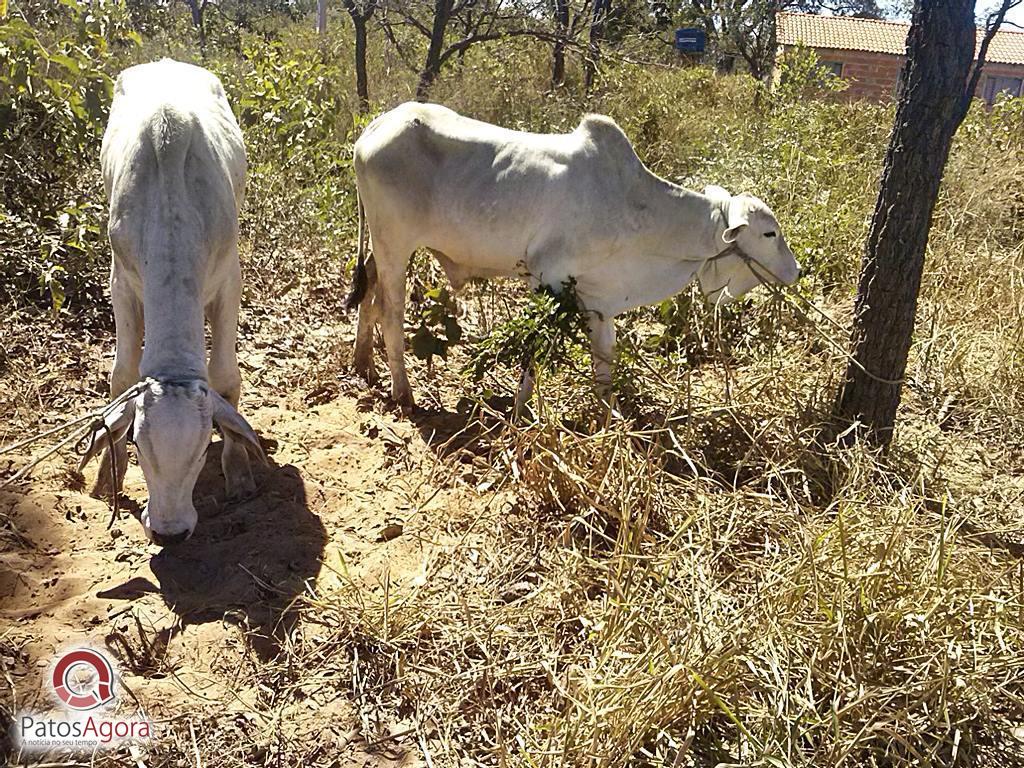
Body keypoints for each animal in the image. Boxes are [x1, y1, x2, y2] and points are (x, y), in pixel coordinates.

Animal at [81, 58, 264, 548]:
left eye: (201, 451)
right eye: (139, 445)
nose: (170, 531)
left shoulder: (229, 280)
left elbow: (226, 377)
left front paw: (238, 471)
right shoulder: (122, 281)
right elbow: (121, 376)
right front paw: (108, 470)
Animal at [348, 105, 802, 411]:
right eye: (769, 233)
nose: (796, 271)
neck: (636, 208)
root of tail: (377, 125)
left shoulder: (600, 300)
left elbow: (604, 363)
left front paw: (607, 417)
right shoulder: (546, 280)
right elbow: (533, 350)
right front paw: (521, 411)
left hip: (381, 244)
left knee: (368, 291)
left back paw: (363, 364)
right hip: (395, 245)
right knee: (390, 309)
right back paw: (403, 392)